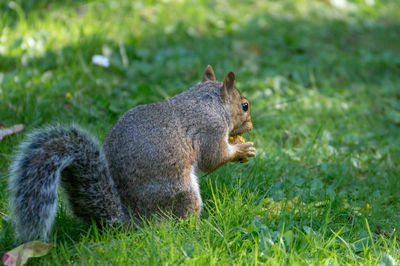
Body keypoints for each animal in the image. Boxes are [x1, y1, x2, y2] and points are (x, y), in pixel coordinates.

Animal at [7, 65, 255, 242]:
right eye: (244, 106)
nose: (251, 126)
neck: (210, 104)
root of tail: (131, 220)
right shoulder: (210, 129)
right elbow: (212, 159)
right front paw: (241, 150)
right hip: (181, 192)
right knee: (178, 223)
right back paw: (200, 228)